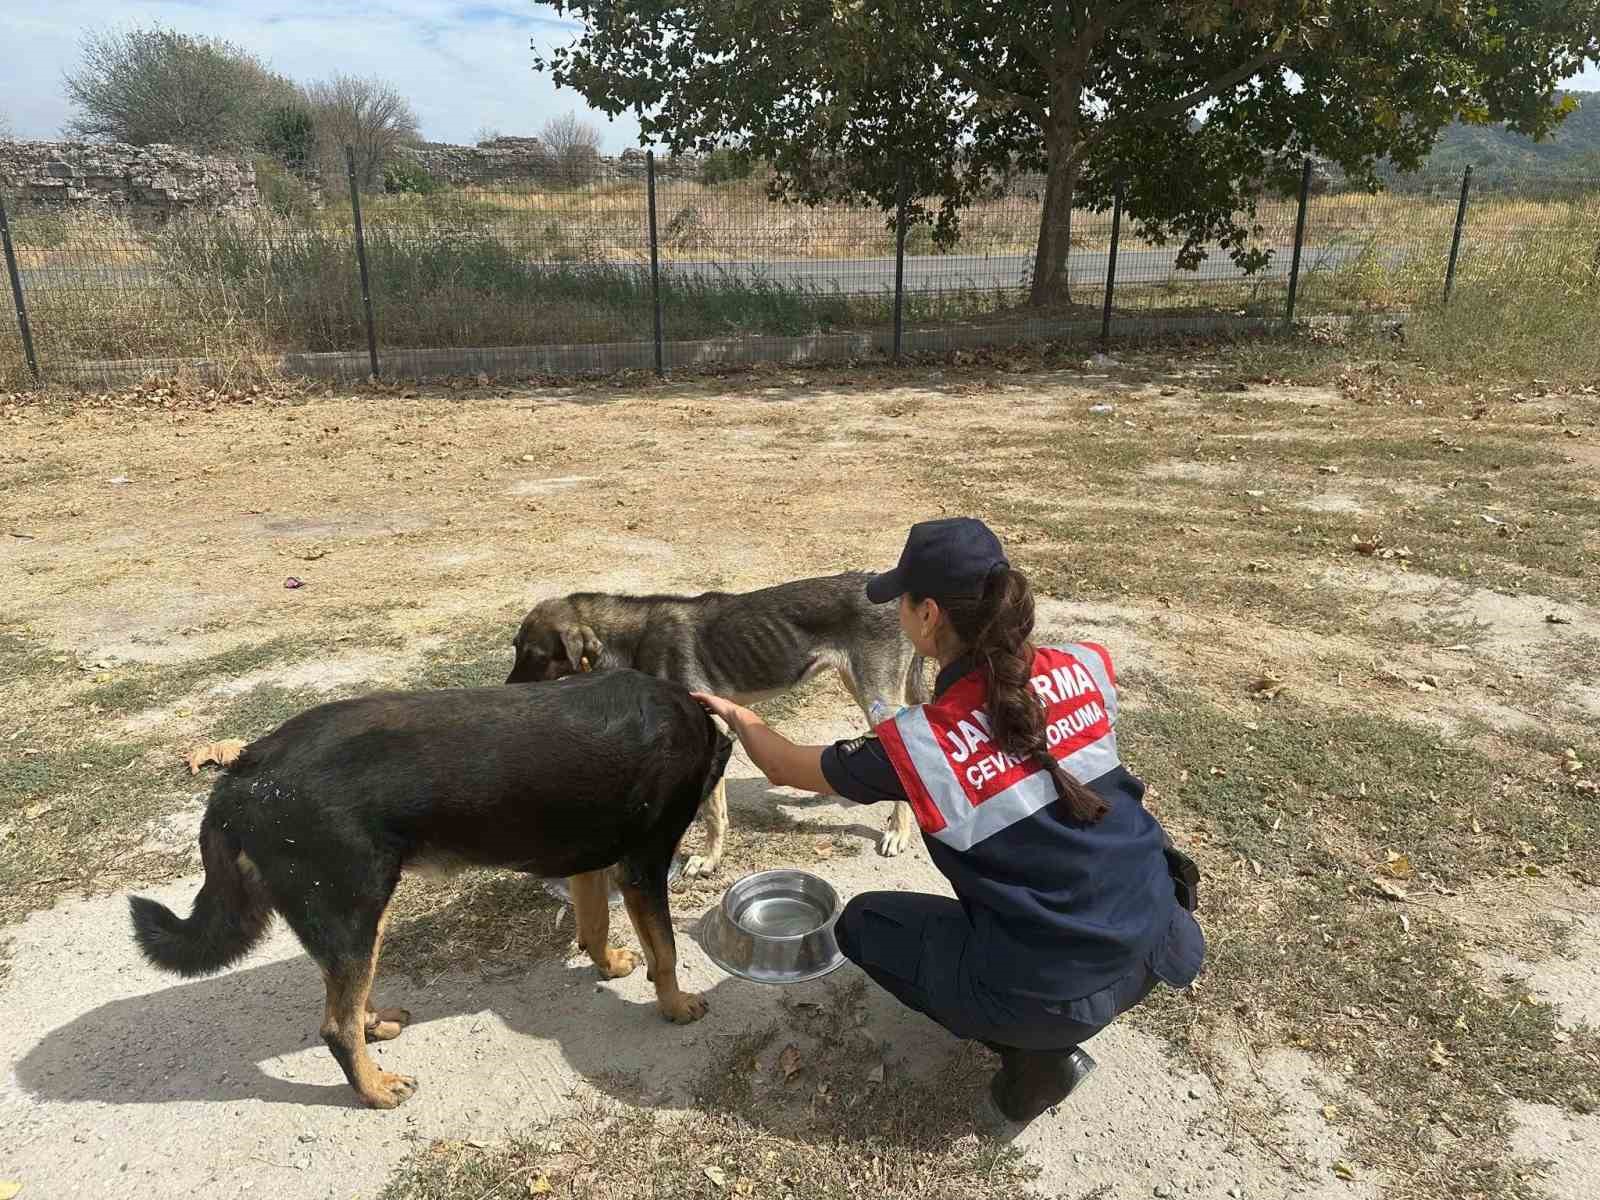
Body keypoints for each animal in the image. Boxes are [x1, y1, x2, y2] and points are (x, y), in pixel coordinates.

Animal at [131, 672, 732, 1113]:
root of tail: (240, 773)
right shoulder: (643, 869)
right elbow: (666, 952)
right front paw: (676, 1006)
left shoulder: (591, 862)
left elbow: (595, 924)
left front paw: (608, 965)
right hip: (354, 909)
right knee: (335, 1026)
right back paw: (375, 1090)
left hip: (353, 919)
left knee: (347, 1002)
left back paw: (375, 1027)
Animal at [505, 572, 921, 876]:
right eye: (515, 648)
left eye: (536, 656)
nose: (504, 692)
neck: (631, 640)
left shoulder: (714, 732)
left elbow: (712, 813)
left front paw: (709, 859)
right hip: (860, 687)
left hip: (875, 698)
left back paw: (897, 831)